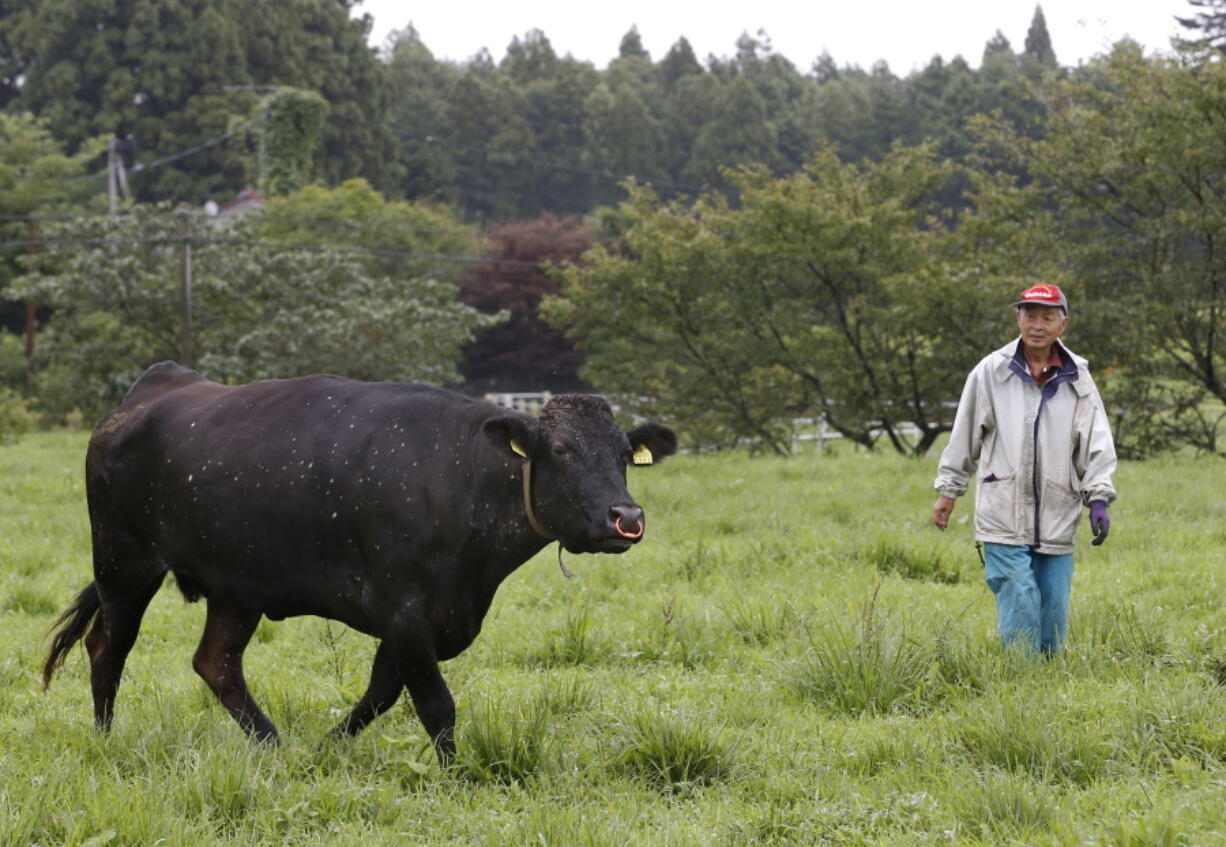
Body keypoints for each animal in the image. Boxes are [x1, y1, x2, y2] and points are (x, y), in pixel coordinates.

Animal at [40, 360, 671, 764]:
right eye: (561, 450)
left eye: (625, 454)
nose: (627, 517)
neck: (460, 476)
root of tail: (152, 388)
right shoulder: (407, 610)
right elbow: (435, 704)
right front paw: (457, 776)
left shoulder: (418, 619)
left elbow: (382, 692)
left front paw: (324, 751)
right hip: (124, 563)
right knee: (108, 647)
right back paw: (106, 739)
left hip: (237, 586)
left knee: (215, 663)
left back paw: (273, 747)